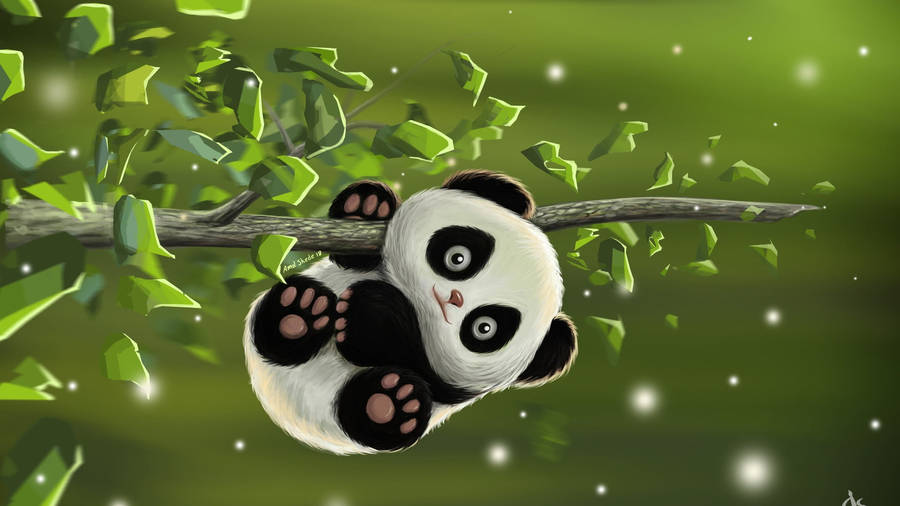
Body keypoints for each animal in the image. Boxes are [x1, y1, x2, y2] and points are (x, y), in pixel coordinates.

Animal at [243, 170, 577, 455]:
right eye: (458, 257)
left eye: (485, 327)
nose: (453, 299)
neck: (412, 299)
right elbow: (353, 255)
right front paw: (366, 206)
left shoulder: (450, 383)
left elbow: (419, 363)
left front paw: (367, 313)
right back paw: (300, 311)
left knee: (376, 414)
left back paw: (390, 402)